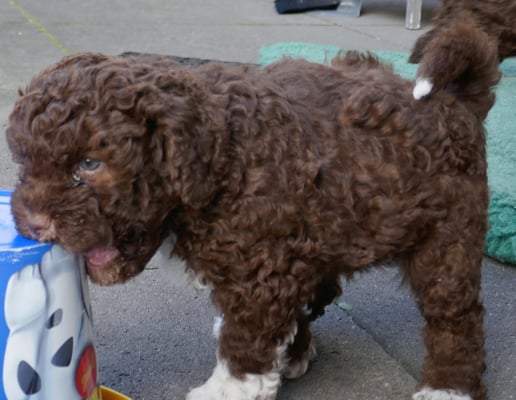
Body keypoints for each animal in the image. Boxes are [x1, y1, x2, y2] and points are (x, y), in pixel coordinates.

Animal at [6, 21, 500, 400]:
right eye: (25, 162)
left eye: (89, 164)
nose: (33, 222)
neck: (219, 159)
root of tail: (456, 98)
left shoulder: (260, 271)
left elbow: (245, 338)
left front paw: (227, 390)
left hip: (448, 237)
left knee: (455, 316)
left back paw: (446, 388)